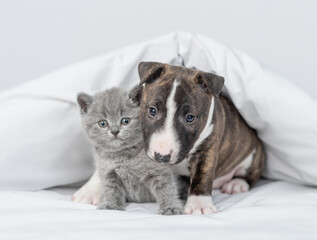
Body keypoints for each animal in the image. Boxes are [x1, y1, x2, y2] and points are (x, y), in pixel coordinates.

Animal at [75, 87, 183, 215]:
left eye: (125, 121)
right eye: (103, 123)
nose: (115, 131)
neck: (122, 155)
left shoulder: (158, 170)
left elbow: (167, 188)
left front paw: (170, 207)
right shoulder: (108, 173)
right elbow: (111, 190)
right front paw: (111, 205)